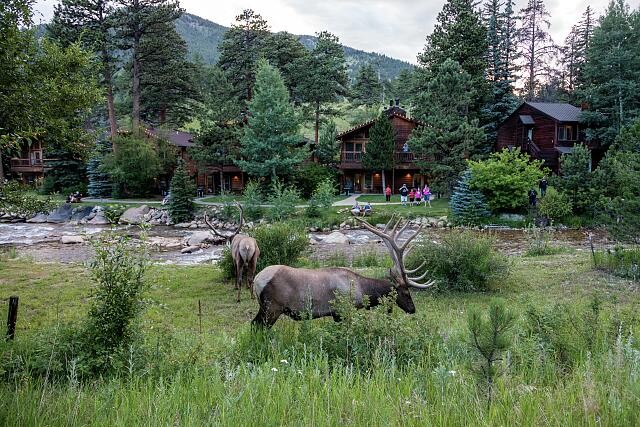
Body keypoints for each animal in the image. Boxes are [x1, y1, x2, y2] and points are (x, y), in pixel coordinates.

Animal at [251, 216, 435, 327]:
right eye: (405, 293)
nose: (412, 309)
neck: (362, 289)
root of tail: (255, 281)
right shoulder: (341, 311)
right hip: (272, 307)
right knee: (258, 326)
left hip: (264, 307)